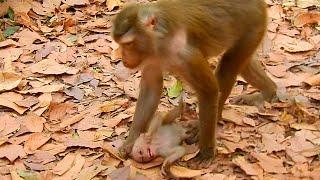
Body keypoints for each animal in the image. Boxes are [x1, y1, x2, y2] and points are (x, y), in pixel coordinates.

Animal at [112, 0, 278, 167]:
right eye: (120, 43)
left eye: (128, 44)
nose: (123, 58)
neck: (161, 40)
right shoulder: (150, 56)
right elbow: (152, 88)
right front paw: (131, 141)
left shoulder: (185, 54)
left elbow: (209, 91)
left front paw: (206, 153)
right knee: (244, 64)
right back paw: (269, 92)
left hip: (254, 25)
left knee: (229, 65)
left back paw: (208, 122)